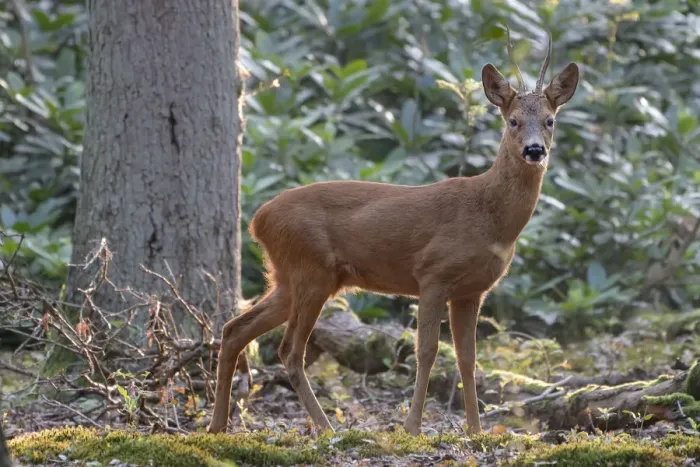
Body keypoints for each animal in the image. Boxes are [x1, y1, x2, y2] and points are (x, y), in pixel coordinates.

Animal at [207, 39, 579, 436]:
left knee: (234, 328)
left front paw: (476, 431)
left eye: (550, 120)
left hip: (291, 277)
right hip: (311, 270)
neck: (490, 217)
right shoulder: (433, 274)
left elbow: (468, 358)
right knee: (289, 350)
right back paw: (326, 428)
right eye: (513, 121)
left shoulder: (472, 290)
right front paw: (412, 428)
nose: (534, 150)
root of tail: (258, 220)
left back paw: (217, 426)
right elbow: (427, 353)